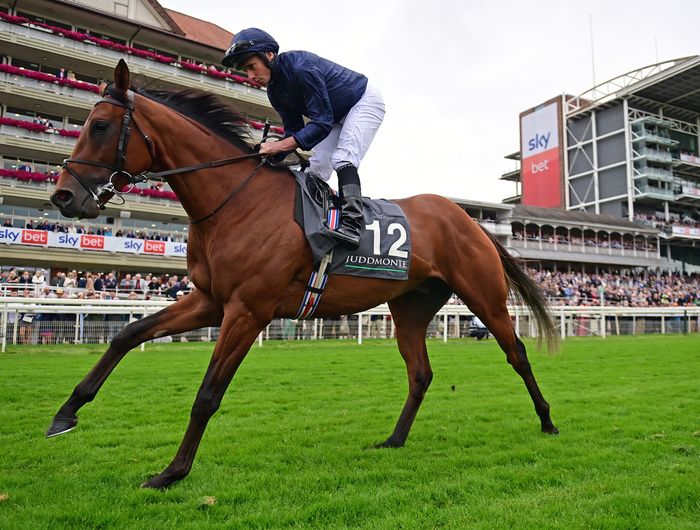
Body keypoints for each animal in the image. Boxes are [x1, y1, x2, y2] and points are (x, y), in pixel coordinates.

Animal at [46, 60, 556, 486]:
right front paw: (65, 414)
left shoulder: (248, 310)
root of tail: (469, 219)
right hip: (410, 307)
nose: (63, 196)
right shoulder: (211, 301)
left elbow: (208, 394)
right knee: (420, 373)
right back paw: (394, 439)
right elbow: (127, 335)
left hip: (483, 295)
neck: (234, 201)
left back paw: (548, 420)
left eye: (100, 126)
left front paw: (172, 472)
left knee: (517, 354)